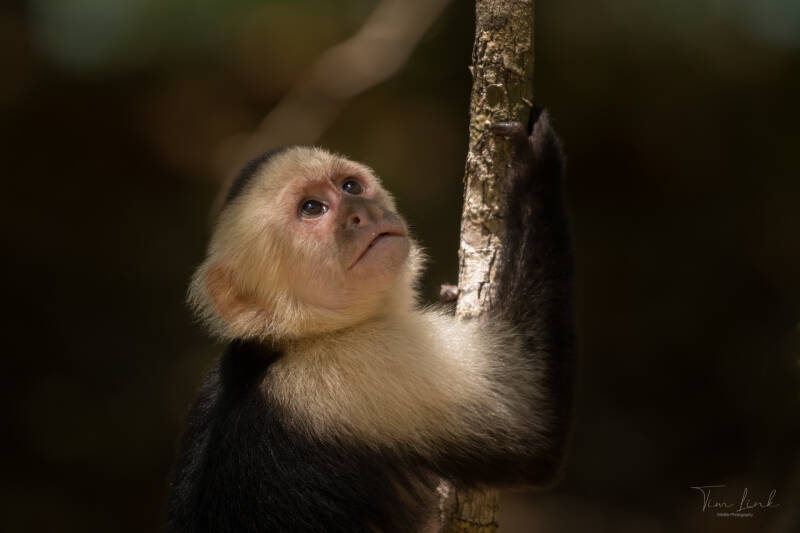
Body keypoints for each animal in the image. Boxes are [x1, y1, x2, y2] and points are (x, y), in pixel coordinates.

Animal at [167, 107, 574, 533]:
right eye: (312, 208)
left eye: (351, 186)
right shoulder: (345, 372)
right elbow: (529, 410)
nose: (361, 212)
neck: (288, 343)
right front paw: (533, 161)